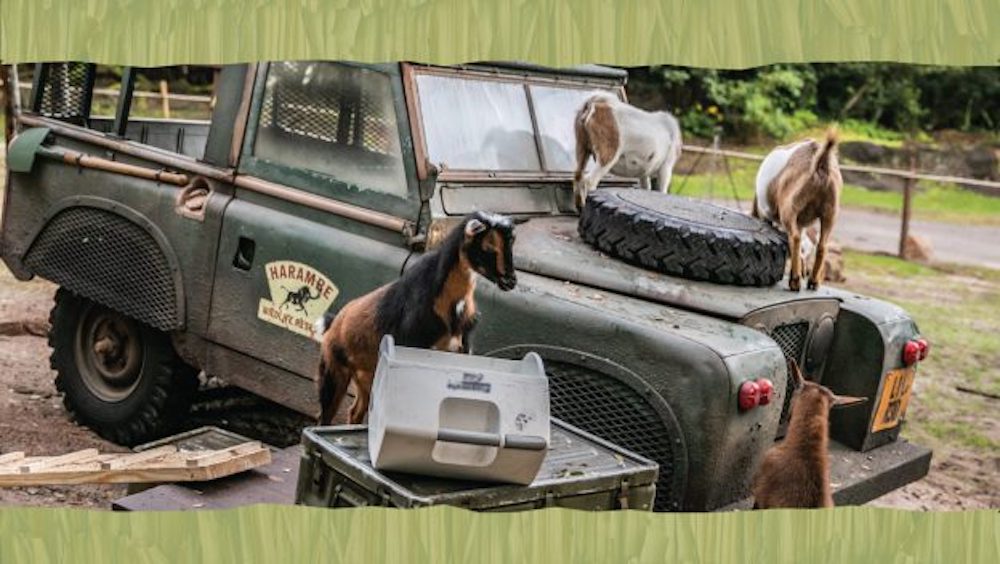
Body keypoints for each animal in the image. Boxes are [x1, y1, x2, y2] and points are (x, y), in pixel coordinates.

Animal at [314, 214, 520, 426]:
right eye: (488, 248)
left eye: (511, 244)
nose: (511, 281)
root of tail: (333, 324)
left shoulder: (461, 349)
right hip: (333, 370)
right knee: (325, 415)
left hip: (366, 377)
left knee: (355, 412)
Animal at [752, 128, 844, 290]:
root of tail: (820, 164)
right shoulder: (801, 223)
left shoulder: (766, 215)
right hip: (830, 213)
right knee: (821, 245)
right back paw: (813, 281)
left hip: (790, 208)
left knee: (794, 238)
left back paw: (794, 281)